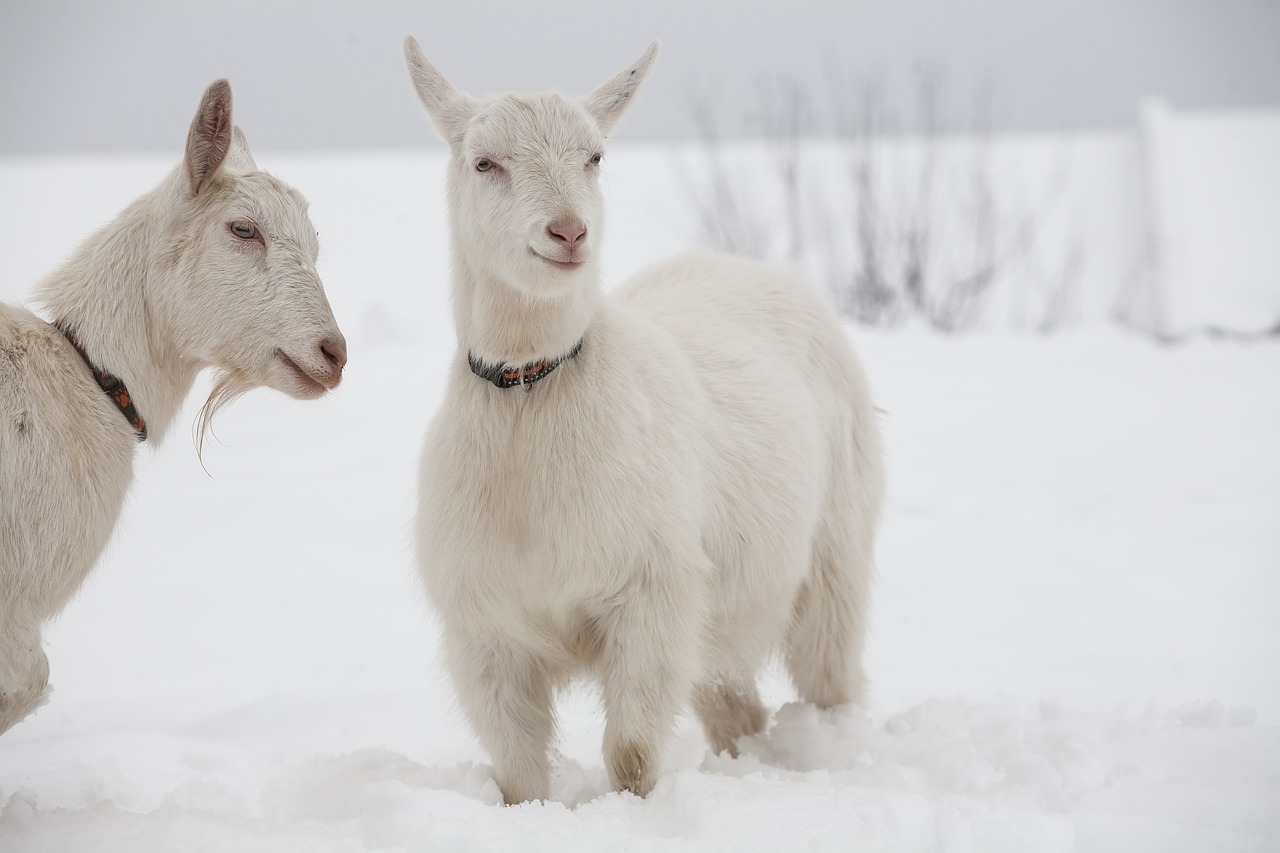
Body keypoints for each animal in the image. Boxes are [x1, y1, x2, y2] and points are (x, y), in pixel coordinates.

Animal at [404, 36, 885, 799]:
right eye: (485, 163)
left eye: (595, 156)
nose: (569, 232)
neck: (531, 398)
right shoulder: (486, 630)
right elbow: (516, 769)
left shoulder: (653, 597)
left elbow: (630, 752)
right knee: (736, 704)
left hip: (834, 548)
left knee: (830, 674)